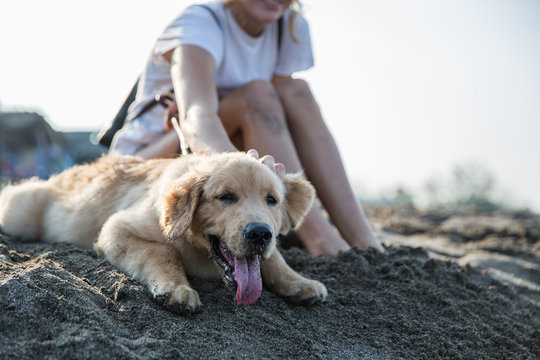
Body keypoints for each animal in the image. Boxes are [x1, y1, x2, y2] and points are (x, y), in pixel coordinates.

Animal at [0, 152, 326, 312]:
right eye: (225, 197)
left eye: (272, 200)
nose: (260, 234)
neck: (201, 253)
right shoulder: (116, 228)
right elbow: (164, 250)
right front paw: (176, 289)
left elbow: (274, 260)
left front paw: (300, 283)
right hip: (20, 211)